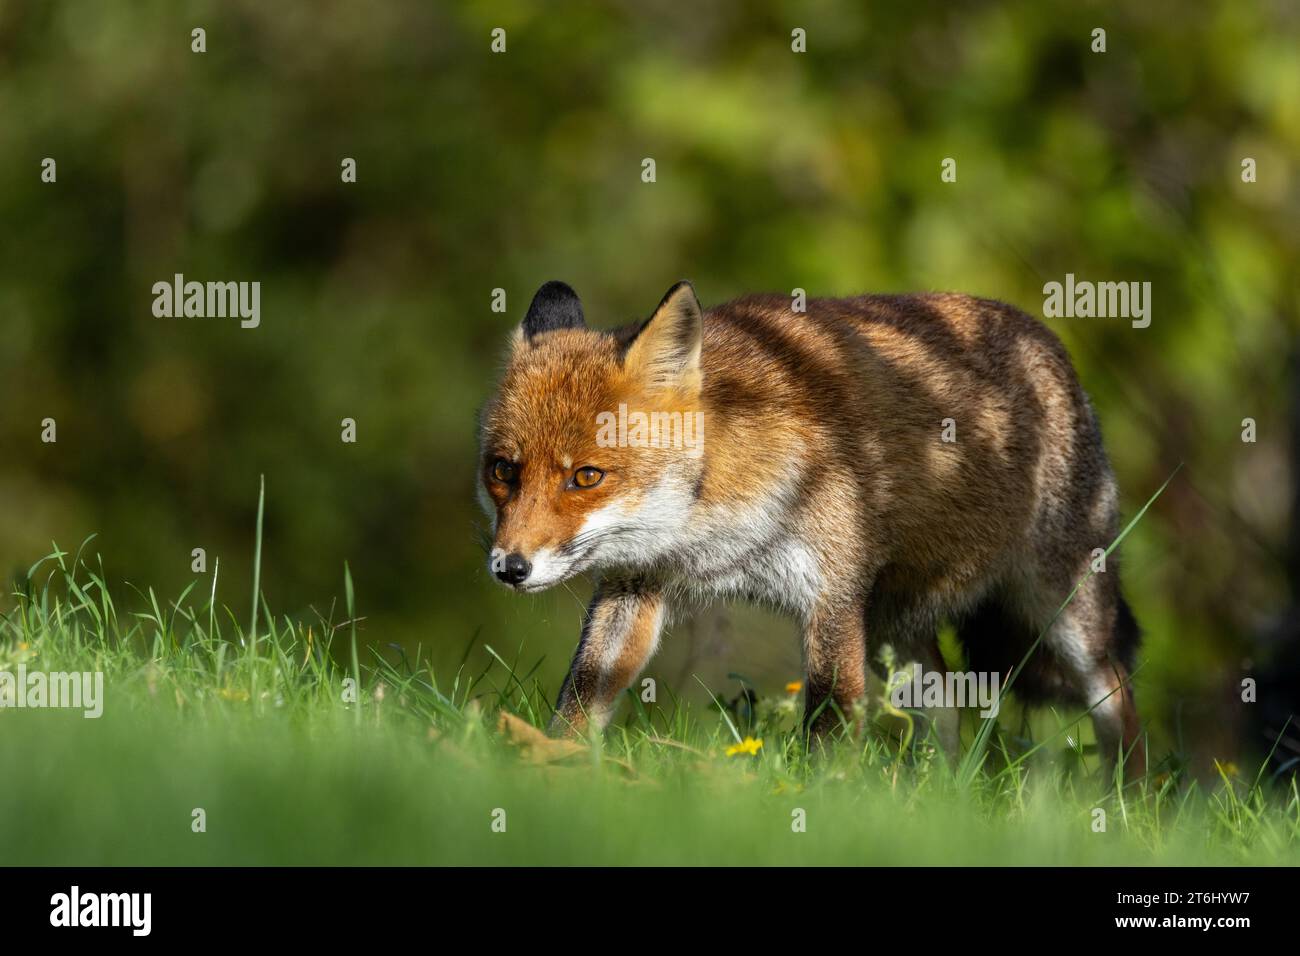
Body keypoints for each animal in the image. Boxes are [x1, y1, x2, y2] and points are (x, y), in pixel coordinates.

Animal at [478, 279, 1146, 779]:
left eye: (586, 476)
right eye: (503, 471)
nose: (509, 568)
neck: (712, 536)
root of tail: (1047, 340)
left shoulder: (830, 599)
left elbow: (827, 727)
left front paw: (820, 803)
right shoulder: (636, 585)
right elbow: (580, 696)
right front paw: (552, 766)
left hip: (1065, 611)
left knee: (1120, 701)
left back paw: (1127, 806)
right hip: (889, 628)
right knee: (948, 704)